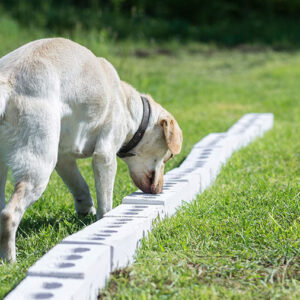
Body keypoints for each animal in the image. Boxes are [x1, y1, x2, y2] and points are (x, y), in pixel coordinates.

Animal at [0, 37, 183, 262]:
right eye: (170, 155)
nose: (158, 191)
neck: (130, 107)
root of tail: (8, 81)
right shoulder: (105, 156)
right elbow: (105, 201)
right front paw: (103, 221)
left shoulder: (64, 160)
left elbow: (80, 186)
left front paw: (85, 210)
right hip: (39, 167)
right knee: (9, 215)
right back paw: (10, 261)